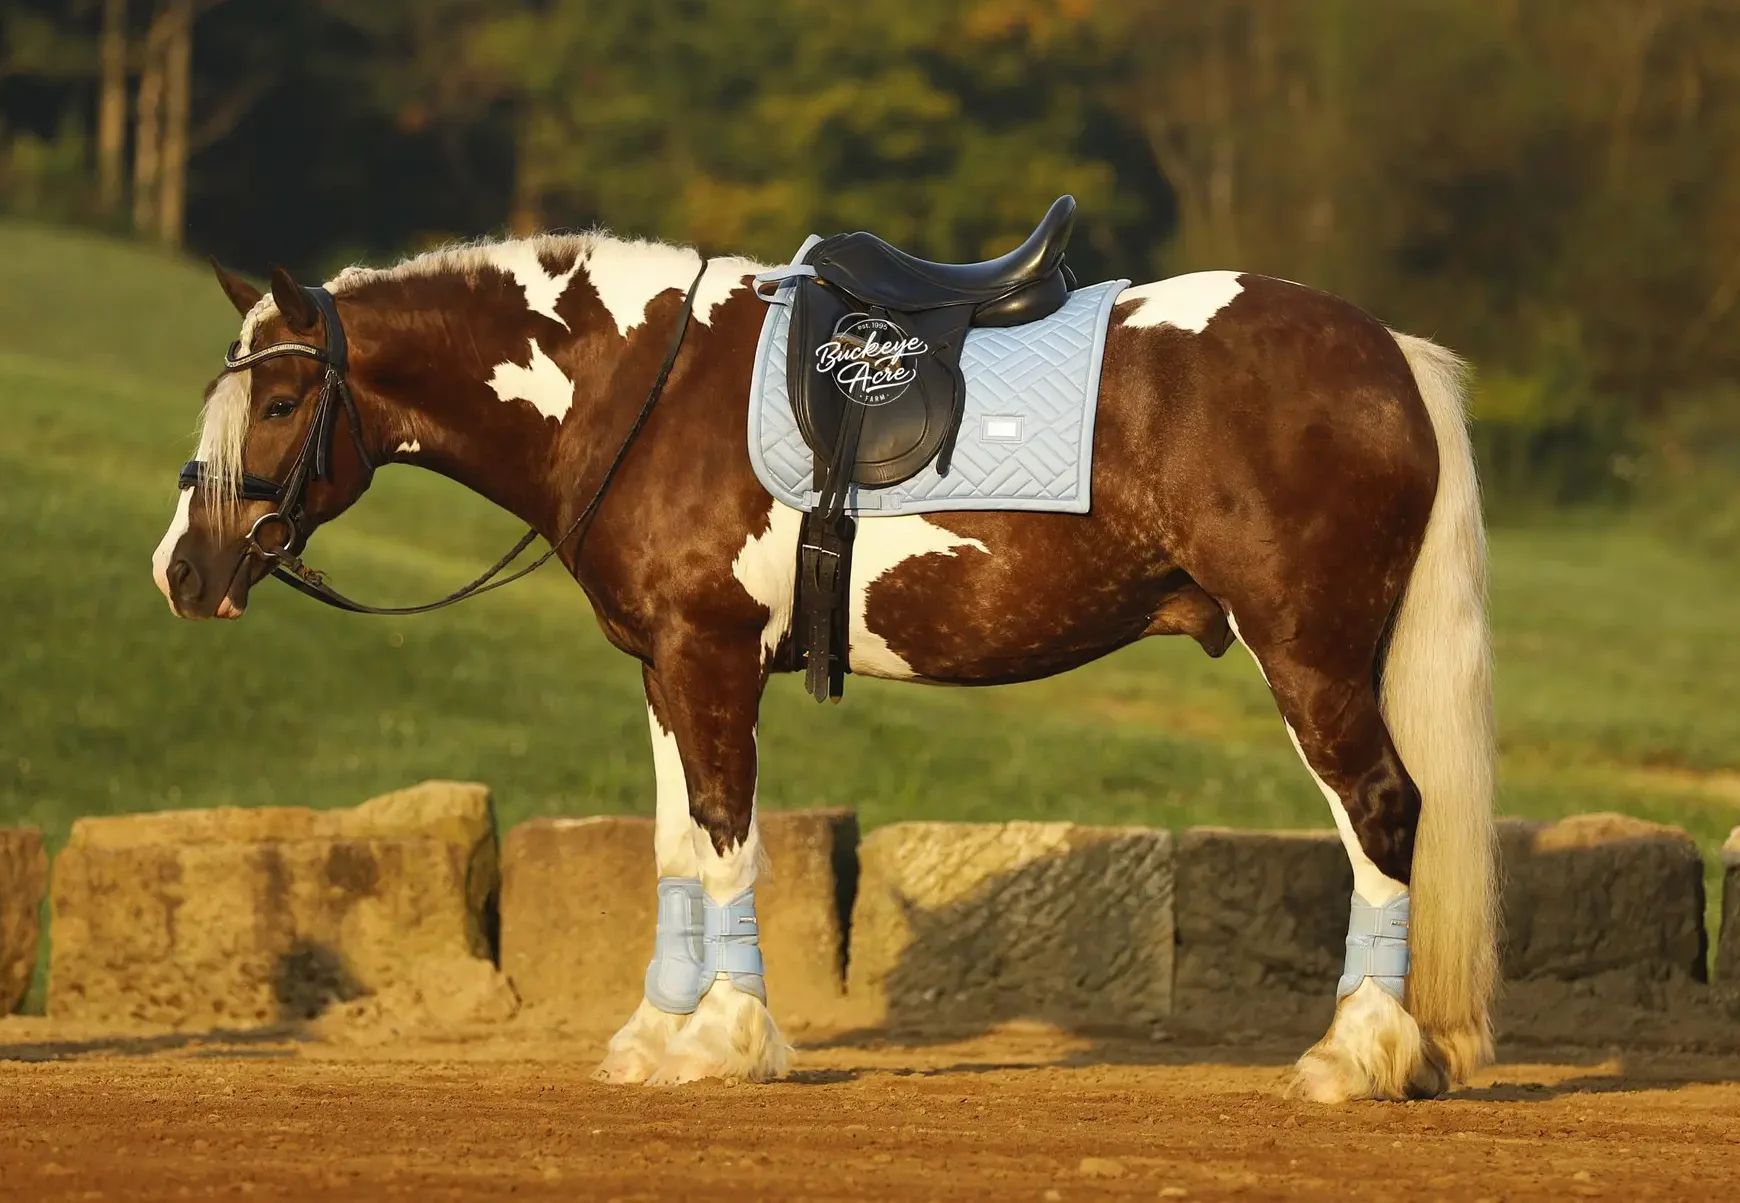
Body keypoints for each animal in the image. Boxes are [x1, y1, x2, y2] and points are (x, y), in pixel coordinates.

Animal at [151, 228, 1497, 1103]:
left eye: (279, 407)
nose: (183, 571)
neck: (641, 390)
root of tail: (1386, 355)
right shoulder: (663, 669)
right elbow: (675, 847)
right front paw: (655, 1035)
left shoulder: (711, 661)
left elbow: (726, 837)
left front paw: (727, 1040)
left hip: (1308, 655)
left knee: (1384, 813)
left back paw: (1358, 1058)